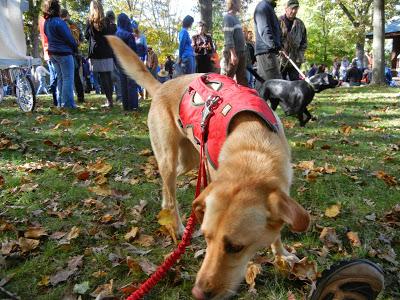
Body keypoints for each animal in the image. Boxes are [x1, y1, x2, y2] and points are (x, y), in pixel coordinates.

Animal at [106, 36, 310, 298]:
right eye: (205, 237)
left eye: (235, 247)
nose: (197, 293)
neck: (252, 147)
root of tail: (161, 87)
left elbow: (276, 232)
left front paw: (282, 254)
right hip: (170, 158)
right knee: (171, 191)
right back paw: (178, 225)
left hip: (189, 160)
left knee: (167, 186)